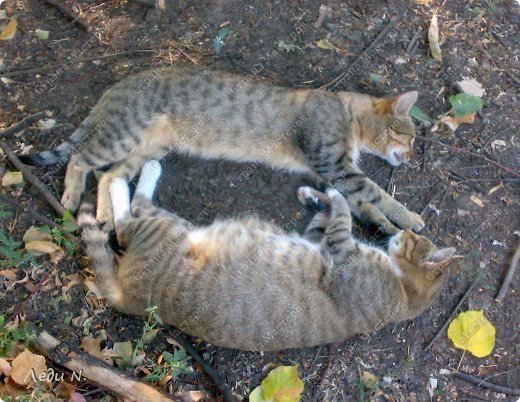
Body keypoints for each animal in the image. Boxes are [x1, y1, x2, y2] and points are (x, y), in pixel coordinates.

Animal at [22, 65, 424, 232]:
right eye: (410, 136)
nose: (411, 156)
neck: (347, 112)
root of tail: (122, 82)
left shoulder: (331, 173)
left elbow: (363, 203)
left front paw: (385, 224)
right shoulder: (334, 165)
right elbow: (376, 193)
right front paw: (408, 218)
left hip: (144, 149)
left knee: (108, 176)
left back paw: (105, 212)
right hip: (122, 135)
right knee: (79, 158)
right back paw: (72, 195)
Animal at [78, 160, 456, 352]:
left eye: (411, 239)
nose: (402, 234)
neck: (403, 292)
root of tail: (132, 298)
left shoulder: (339, 250)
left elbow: (342, 211)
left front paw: (332, 192)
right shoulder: (318, 240)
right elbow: (329, 215)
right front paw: (315, 195)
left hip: (166, 228)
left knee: (130, 217)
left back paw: (133, 178)